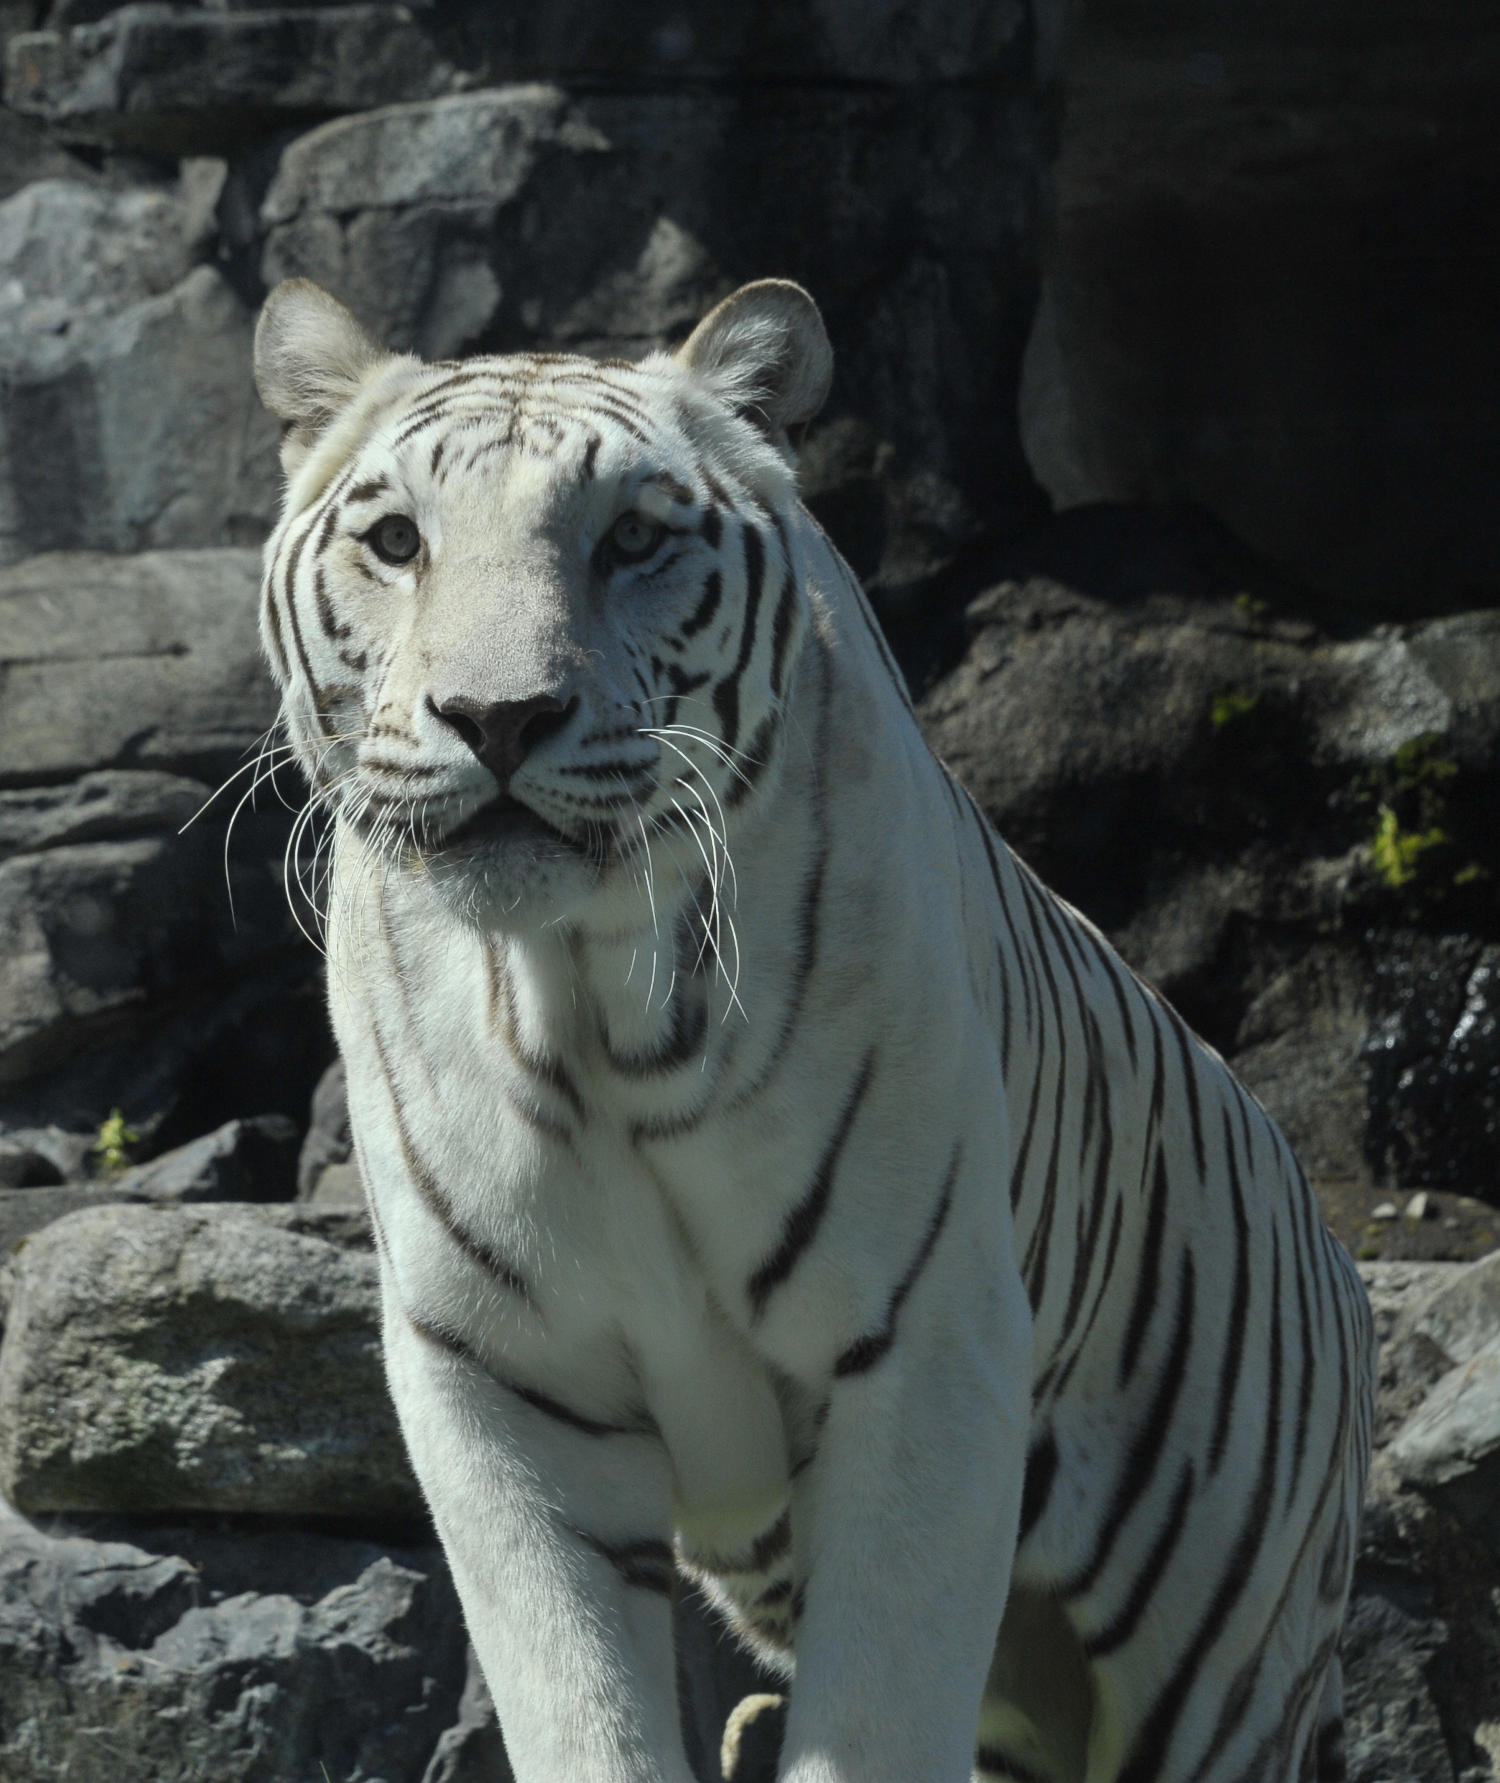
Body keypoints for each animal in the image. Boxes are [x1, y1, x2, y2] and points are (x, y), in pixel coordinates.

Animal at [255, 274, 1369, 1783]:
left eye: (632, 537)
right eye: (396, 540)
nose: (499, 715)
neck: (580, 997)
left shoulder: (924, 1350)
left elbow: (880, 1711)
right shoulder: (497, 1382)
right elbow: (578, 1703)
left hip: (1219, 1654)